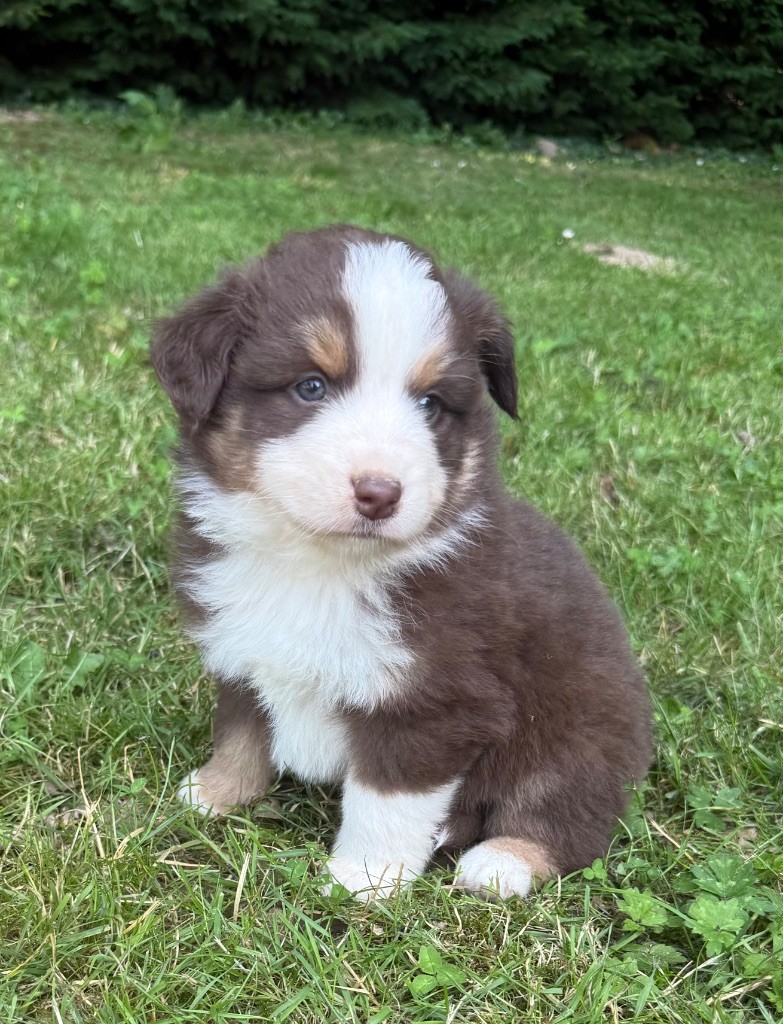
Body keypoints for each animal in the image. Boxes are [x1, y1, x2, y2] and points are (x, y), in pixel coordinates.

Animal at [150, 225, 652, 901]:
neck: (320, 565)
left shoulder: (435, 699)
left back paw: (503, 861)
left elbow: (386, 797)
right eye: (311, 386)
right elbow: (241, 733)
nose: (380, 493)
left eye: (431, 403)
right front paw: (214, 792)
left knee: (569, 814)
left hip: (579, 725)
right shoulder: (241, 651)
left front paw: (363, 878)